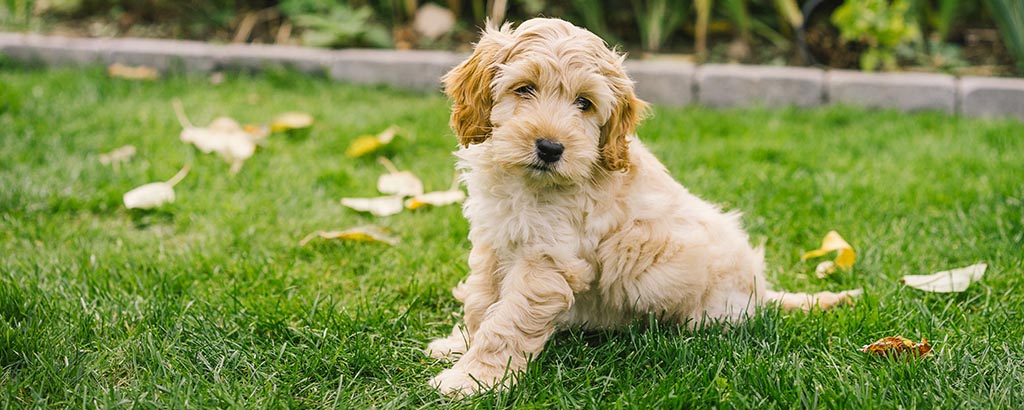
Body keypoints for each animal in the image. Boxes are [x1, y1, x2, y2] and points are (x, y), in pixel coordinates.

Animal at [423, 17, 856, 395]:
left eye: (584, 103)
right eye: (524, 89)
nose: (550, 148)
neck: (529, 183)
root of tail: (763, 293)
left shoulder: (549, 261)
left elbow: (507, 323)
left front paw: (472, 380)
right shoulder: (493, 239)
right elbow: (481, 300)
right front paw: (459, 344)